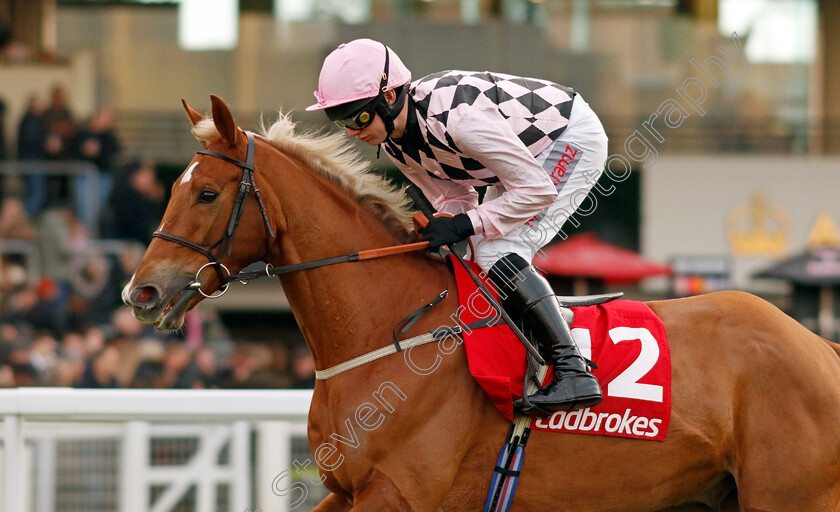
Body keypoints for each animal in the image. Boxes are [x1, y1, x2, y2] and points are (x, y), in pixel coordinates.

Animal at [123, 95, 840, 508]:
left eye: (207, 193)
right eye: (174, 187)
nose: (142, 291)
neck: (389, 330)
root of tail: (819, 347)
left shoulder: (401, 496)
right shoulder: (348, 491)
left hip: (792, 494)